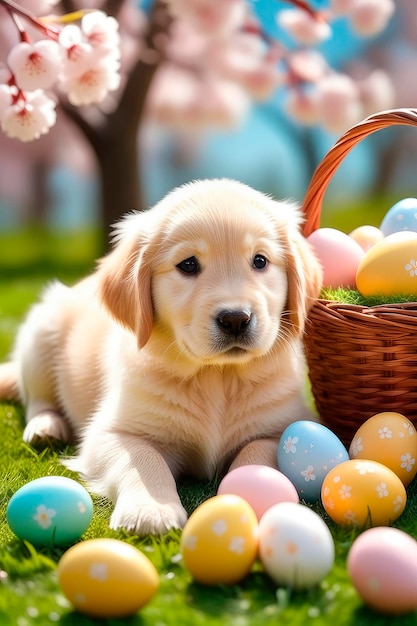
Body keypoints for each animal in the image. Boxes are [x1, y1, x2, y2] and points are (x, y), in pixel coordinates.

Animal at [0, 178, 322, 532]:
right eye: (188, 265)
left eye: (260, 261)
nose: (236, 319)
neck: (216, 376)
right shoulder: (113, 432)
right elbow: (143, 459)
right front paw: (149, 509)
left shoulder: (283, 426)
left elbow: (257, 452)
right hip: (42, 332)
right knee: (37, 399)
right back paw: (46, 427)